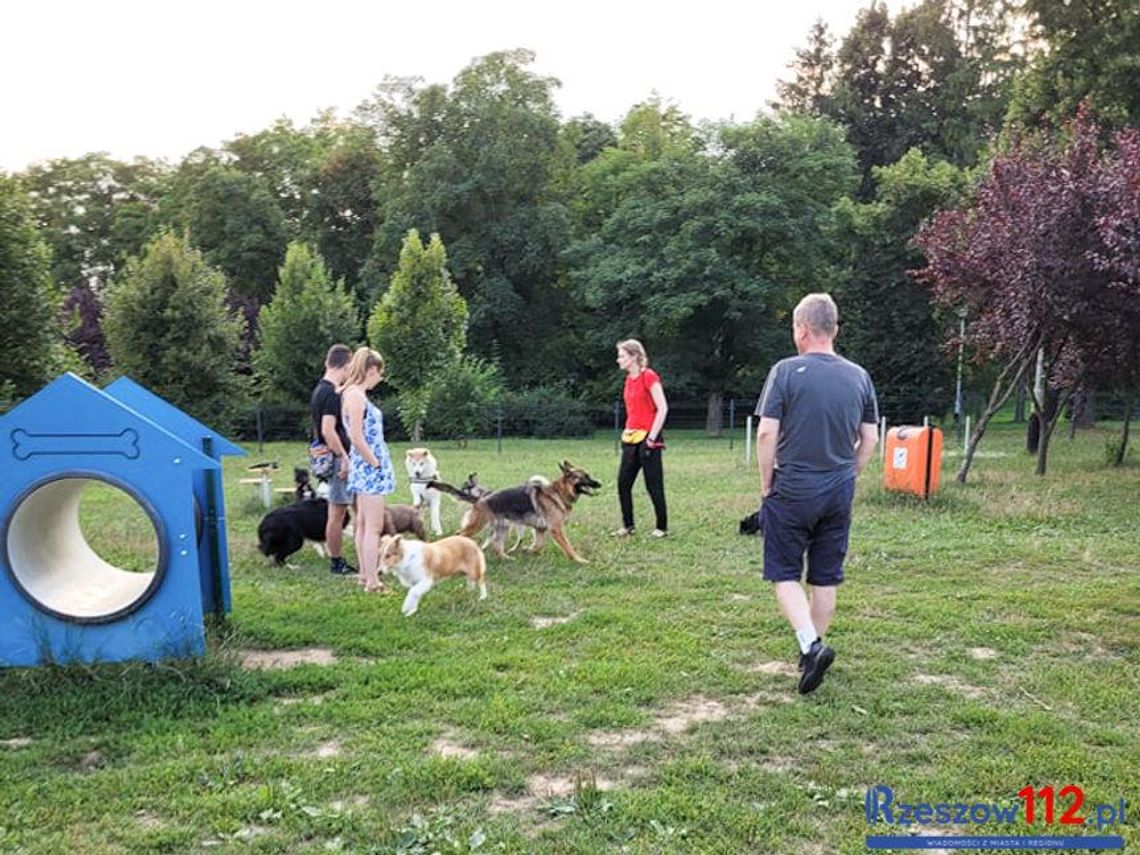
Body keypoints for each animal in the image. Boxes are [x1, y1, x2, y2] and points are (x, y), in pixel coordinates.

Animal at [453, 465, 601, 565]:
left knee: (496, 545)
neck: (559, 492)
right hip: (477, 526)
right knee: (459, 534)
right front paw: (579, 560)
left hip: (503, 528)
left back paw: (507, 558)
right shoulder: (556, 529)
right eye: (585, 477)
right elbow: (568, 547)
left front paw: (527, 550)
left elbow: (538, 546)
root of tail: (480, 499)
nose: (600, 483)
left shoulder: (540, 529)